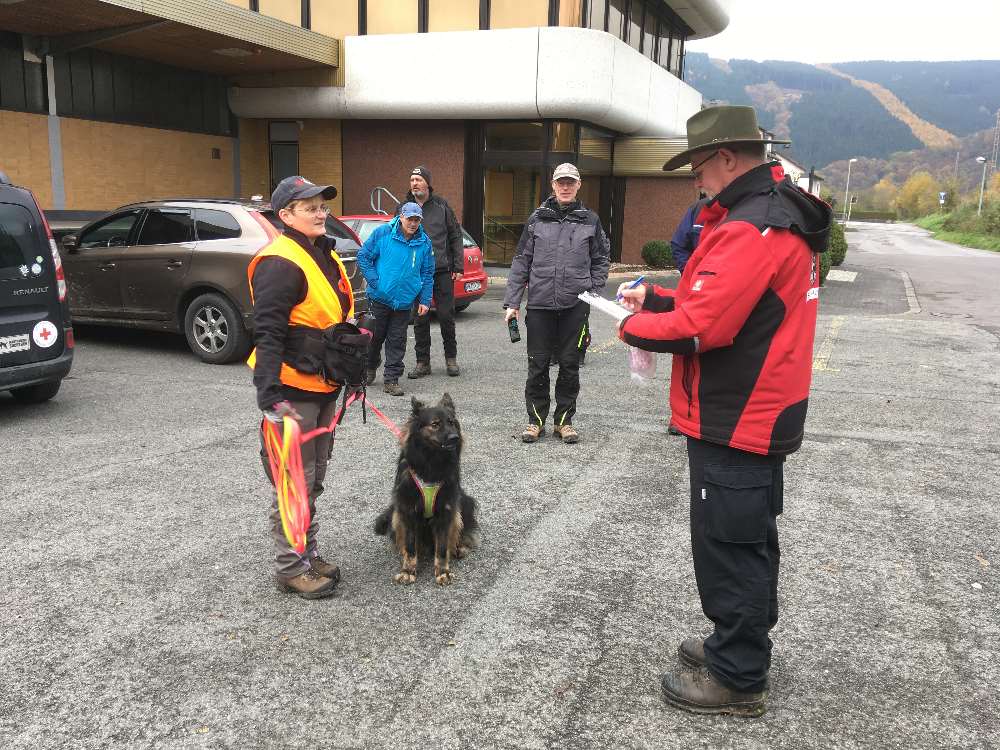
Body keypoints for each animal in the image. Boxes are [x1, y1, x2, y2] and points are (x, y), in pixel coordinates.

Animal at [376, 394, 482, 588]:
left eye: (452, 422)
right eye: (435, 424)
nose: (455, 438)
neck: (432, 463)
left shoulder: (446, 511)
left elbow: (442, 548)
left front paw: (443, 572)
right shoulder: (408, 510)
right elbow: (410, 547)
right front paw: (408, 571)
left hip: (463, 504)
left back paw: (458, 548)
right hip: (396, 513)